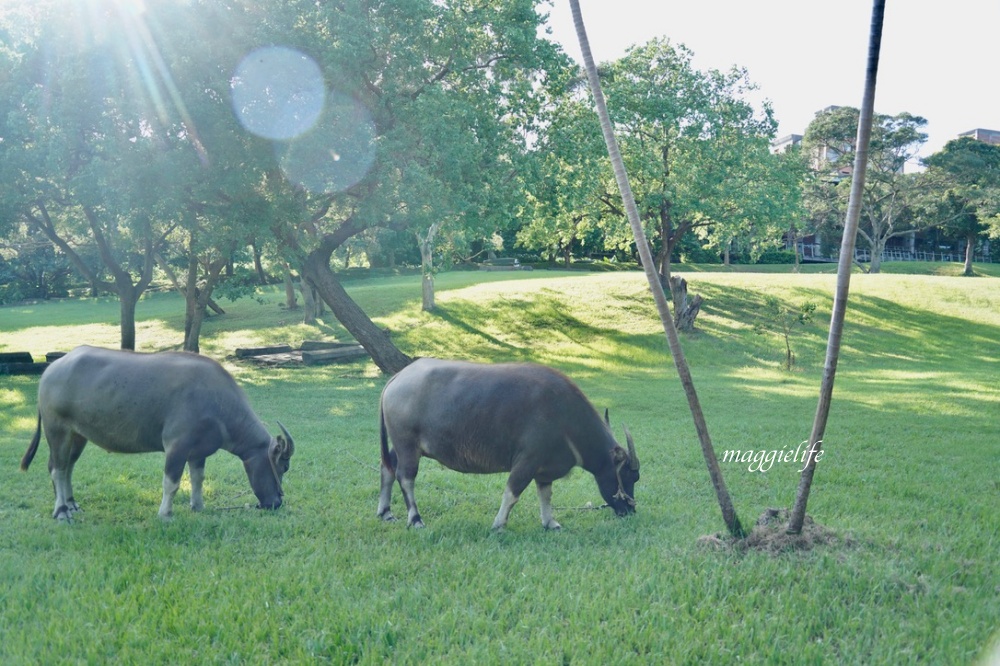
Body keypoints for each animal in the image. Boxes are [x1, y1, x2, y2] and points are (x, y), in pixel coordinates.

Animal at [20, 344, 292, 520]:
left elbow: (198, 479)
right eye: (284, 466)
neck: (219, 404)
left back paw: (72, 505)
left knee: (68, 468)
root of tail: (52, 369)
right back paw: (61, 512)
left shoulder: (198, 452)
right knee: (56, 468)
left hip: (78, 435)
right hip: (57, 430)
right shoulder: (176, 446)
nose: (277, 503)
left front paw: (198, 506)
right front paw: (165, 514)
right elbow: (171, 483)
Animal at [376, 358, 640, 528]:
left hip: (403, 445)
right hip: (407, 444)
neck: (566, 418)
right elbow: (512, 492)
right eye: (630, 476)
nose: (630, 510)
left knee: (387, 468)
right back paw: (415, 519)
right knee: (405, 477)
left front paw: (550, 522)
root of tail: (398, 377)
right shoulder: (527, 461)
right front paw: (499, 523)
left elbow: (546, 495)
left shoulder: (544, 469)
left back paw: (385, 512)